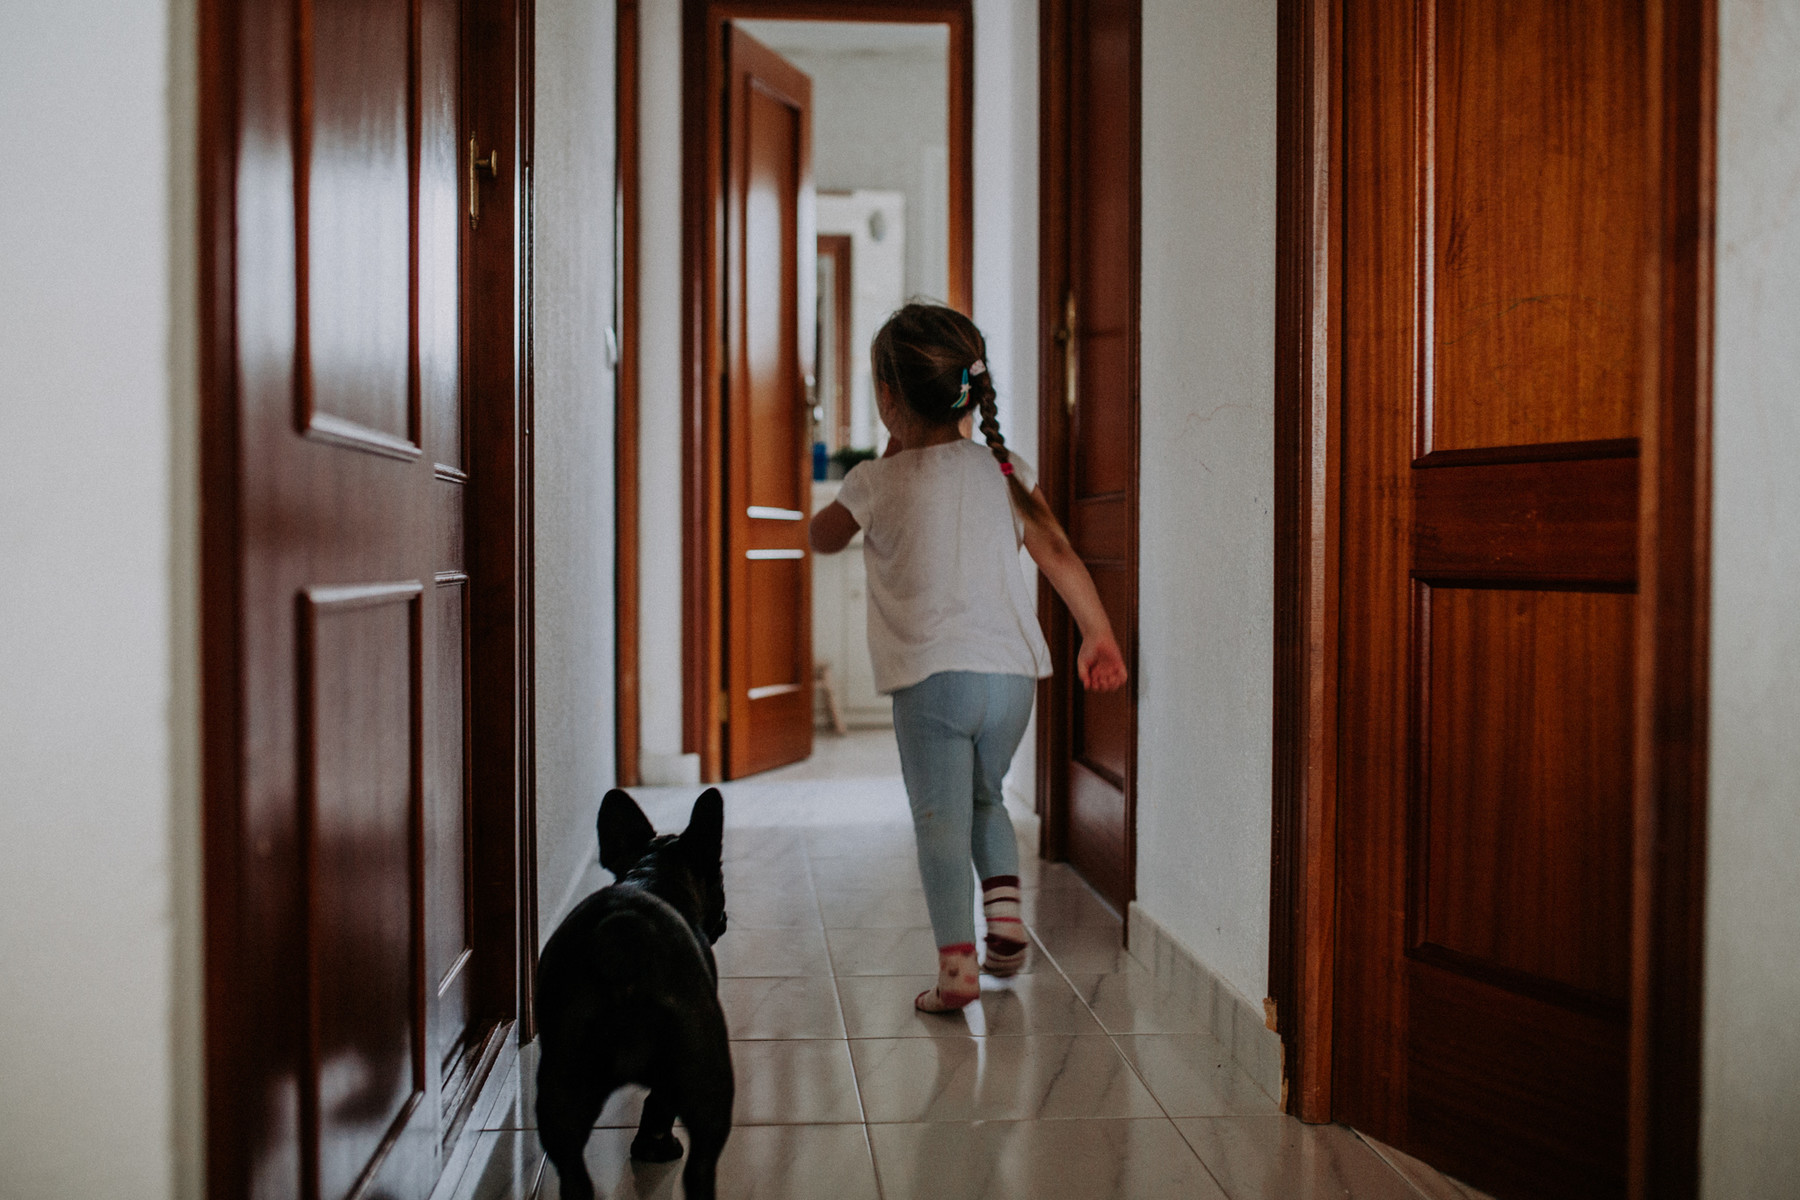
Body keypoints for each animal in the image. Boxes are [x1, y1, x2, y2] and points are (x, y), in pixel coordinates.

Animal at [532, 788, 730, 1200]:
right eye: (720, 879)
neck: (653, 877)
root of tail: (623, 937)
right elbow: (659, 1104)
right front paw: (656, 1147)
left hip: (562, 1087)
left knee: (572, 1172)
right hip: (707, 1076)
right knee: (700, 1167)